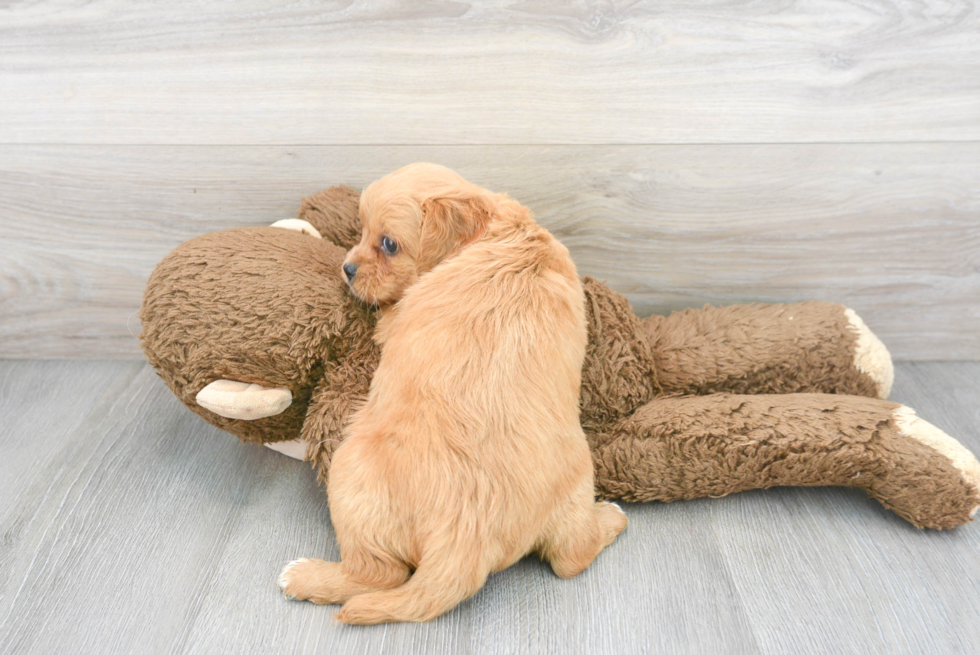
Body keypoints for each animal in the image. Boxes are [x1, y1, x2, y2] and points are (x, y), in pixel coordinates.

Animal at [280, 164, 624, 624]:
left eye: (388, 243)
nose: (347, 268)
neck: (493, 229)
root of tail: (463, 541)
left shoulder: (393, 319)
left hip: (348, 471)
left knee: (379, 575)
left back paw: (302, 577)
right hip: (576, 484)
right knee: (573, 556)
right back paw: (612, 517)